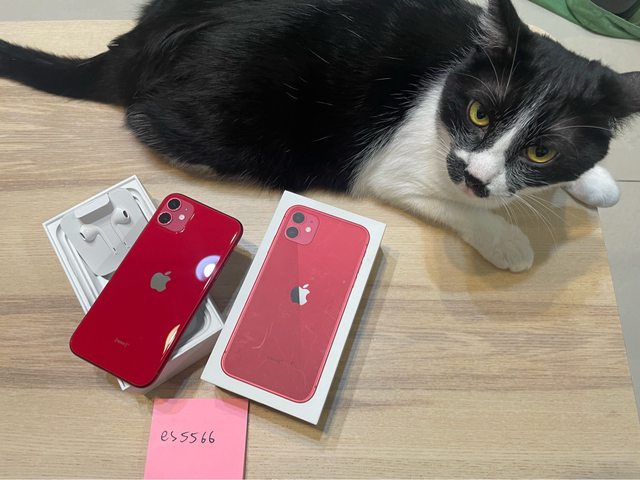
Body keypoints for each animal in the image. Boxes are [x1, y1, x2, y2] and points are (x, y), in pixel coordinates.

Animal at [1, 0, 638, 271]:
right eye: (481, 114)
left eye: (541, 151)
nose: (478, 177)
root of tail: (140, 40)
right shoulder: (394, 165)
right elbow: (454, 205)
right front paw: (506, 240)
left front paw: (598, 182)